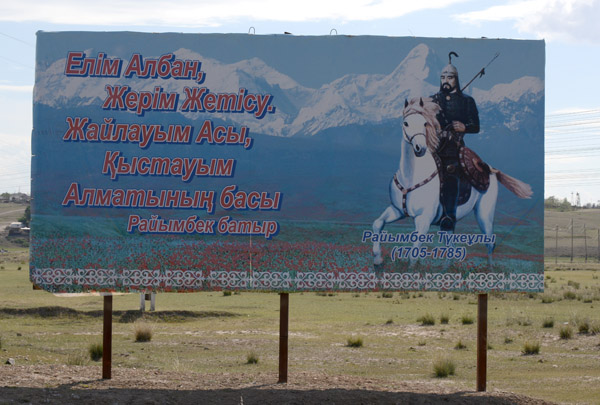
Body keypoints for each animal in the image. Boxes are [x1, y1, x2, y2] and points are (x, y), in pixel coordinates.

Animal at [372, 96, 532, 266]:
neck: (411, 176)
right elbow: (377, 223)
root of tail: (489, 168)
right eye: (406, 123)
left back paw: (491, 269)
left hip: (484, 214)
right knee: (451, 247)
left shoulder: (423, 219)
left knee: (489, 243)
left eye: (425, 123)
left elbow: (414, 254)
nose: (419, 148)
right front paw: (377, 259)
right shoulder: (397, 210)